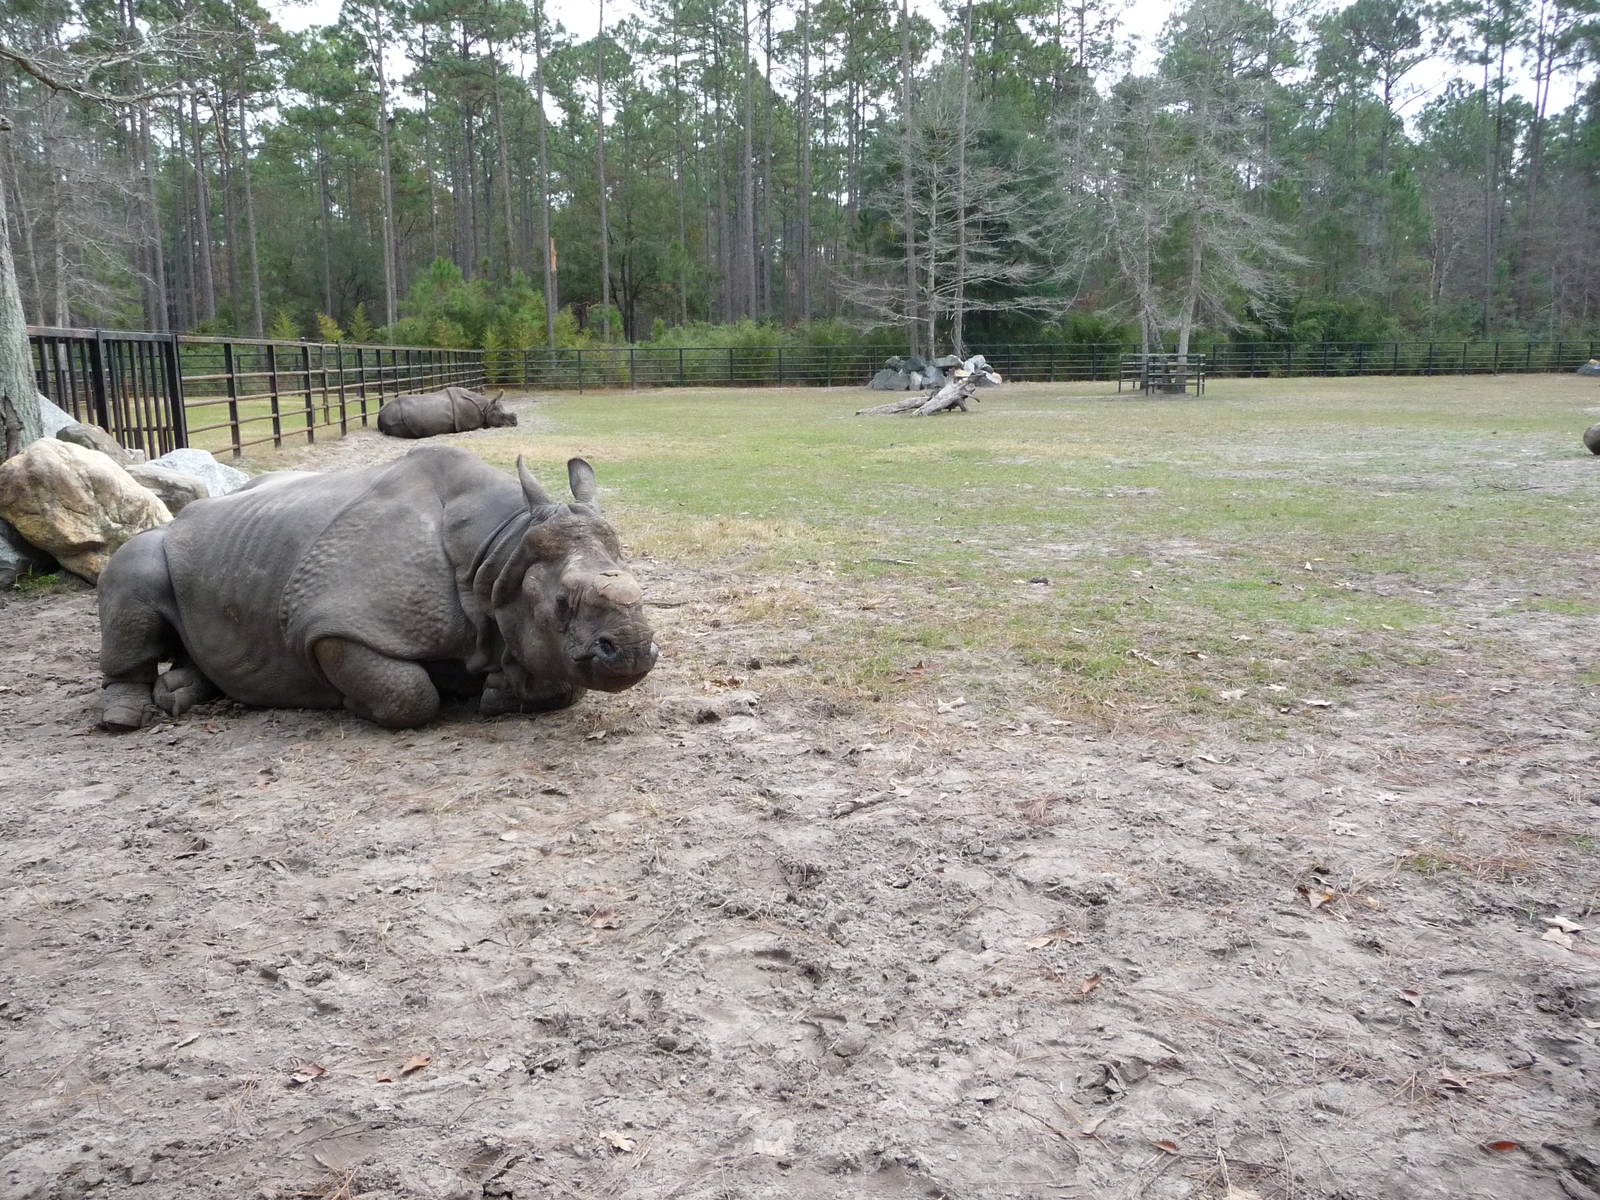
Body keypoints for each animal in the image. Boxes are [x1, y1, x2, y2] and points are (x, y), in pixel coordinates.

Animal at [97, 446, 657, 731]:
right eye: (561, 604)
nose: (633, 652)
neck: (499, 552)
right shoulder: (332, 623)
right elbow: (409, 695)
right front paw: (355, 705)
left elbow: (561, 683)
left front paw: (499, 690)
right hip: (157, 541)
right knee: (133, 569)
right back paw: (124, 719)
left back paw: (178, 693)